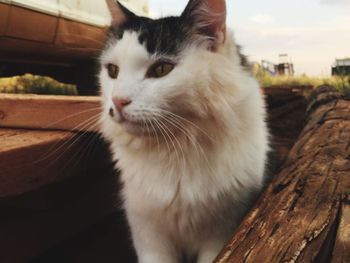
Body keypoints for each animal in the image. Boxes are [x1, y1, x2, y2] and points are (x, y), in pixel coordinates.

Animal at [100, 0, 270, 263]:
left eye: (161, 69)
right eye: (112, 71)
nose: (117, 101)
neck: (176, 148)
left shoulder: (220, 234)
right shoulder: (148, 235)